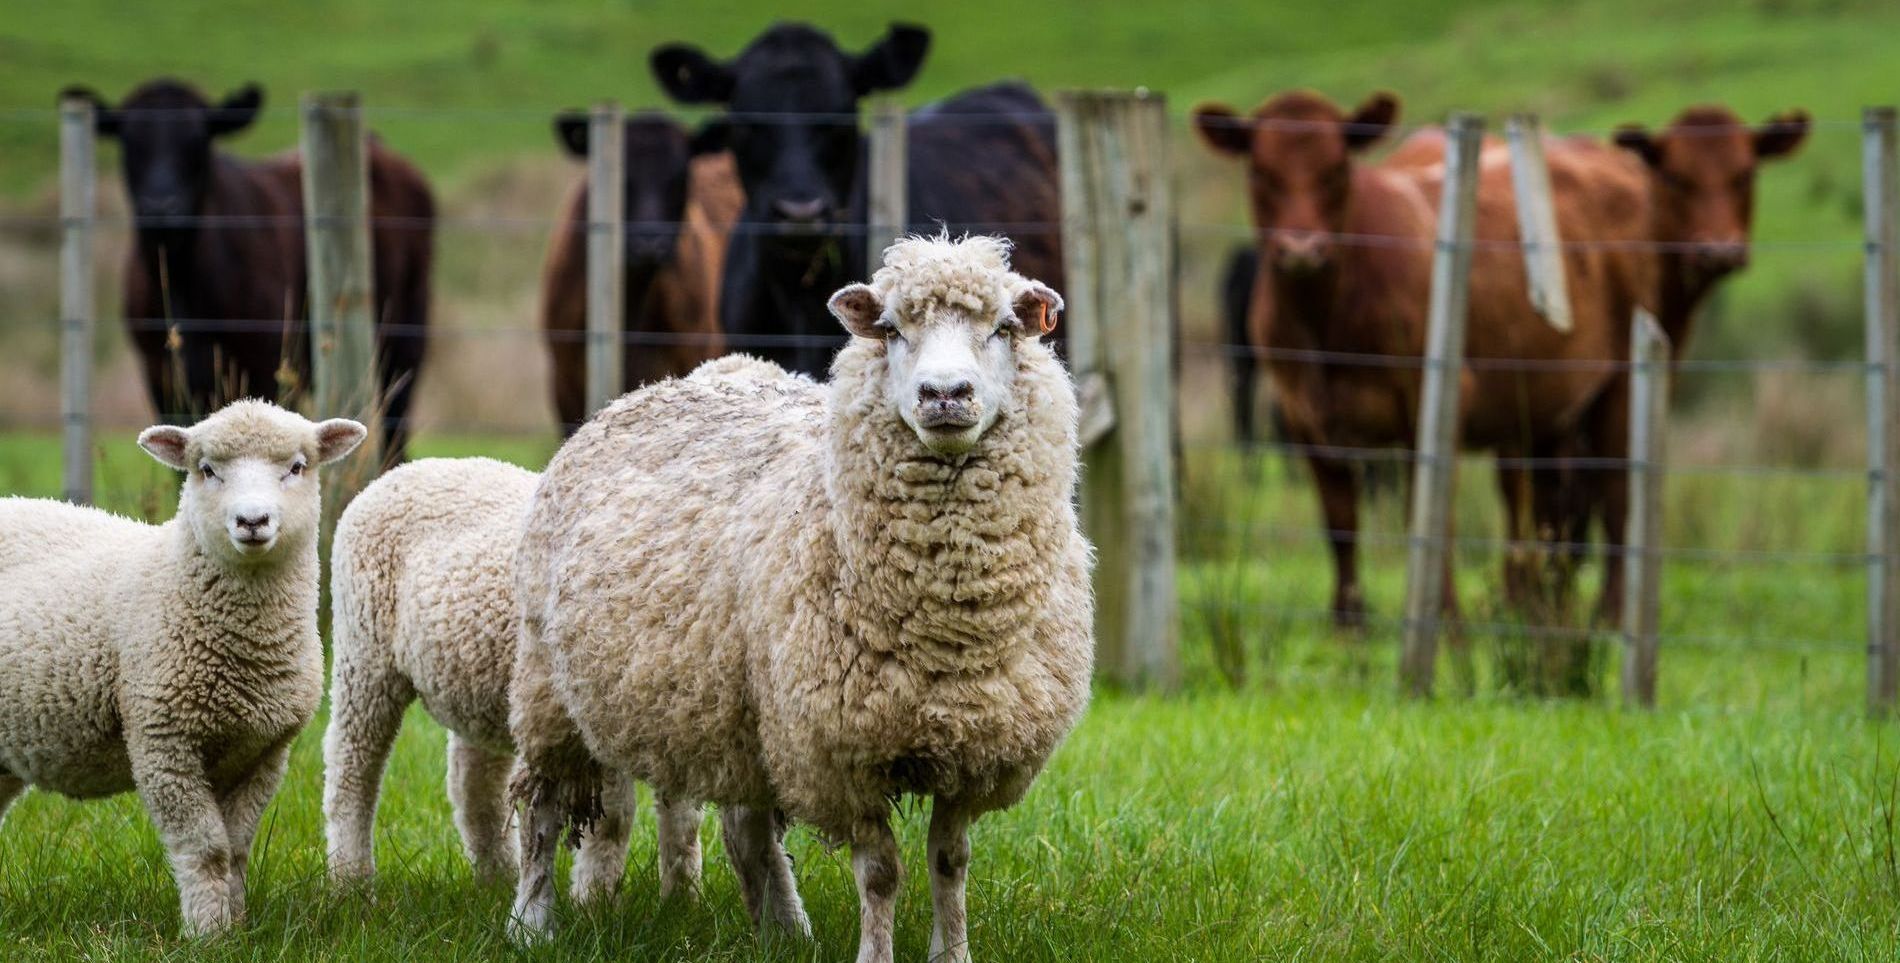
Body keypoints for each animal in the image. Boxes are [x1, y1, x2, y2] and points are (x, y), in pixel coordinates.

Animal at [0, 400, 365, 936]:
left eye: (297, 467)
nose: (252, 520)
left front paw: (237, 927)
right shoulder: (163, 743)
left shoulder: (264, 752)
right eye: (206, 469)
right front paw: (207, 934)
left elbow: (236, 849)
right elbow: (207, 849)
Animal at [321, 456, 702, 898]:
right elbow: (613, 819)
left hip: (479, 683)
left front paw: (683, 899)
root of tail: (404, 471)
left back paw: (497, 880)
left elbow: (684, 822)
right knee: (352, 769)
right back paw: (351, 882)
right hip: (364, 653)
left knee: (474, 787)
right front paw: (595, 900)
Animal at [507, 234, 1094, 962]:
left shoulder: (976, 748)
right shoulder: (838, 752)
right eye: (891, 330)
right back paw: (530, 921)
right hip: (549, 687)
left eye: (1005, 329)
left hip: (741, 713)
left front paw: (951, 953)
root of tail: (654, 389)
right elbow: (881, 871)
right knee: (541, 807)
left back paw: (785, 927)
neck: (946, 627)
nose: (944, 394)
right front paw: (875, 955)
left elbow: (950, 863)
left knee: (748, 828)